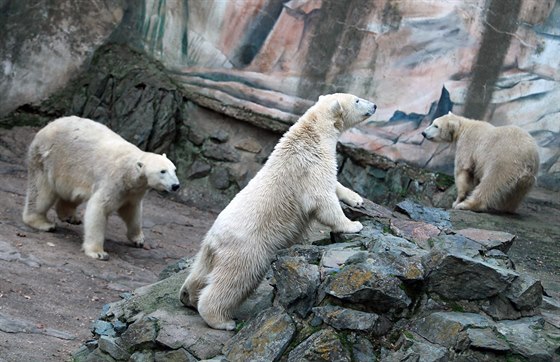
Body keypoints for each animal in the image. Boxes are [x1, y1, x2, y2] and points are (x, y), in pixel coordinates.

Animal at [21, 116, 179, 260]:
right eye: (162, 171)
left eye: (174, 170)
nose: (176, 186)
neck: (130, 171)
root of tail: (48, 126)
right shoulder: (114, 181)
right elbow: (99, 208)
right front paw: (98, 252)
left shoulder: (134, 191)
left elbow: (132, 210)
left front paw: (138, 239)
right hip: (49, 158)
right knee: (42, 193)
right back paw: (43, 223)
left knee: (73, 194)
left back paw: (70, 216)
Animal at [182, 92, 378, 330]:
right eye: (357, 100)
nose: (375, 105)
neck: (313, 132)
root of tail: (214, 238)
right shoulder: (310, 165)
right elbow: (321, 199)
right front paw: (353, 224)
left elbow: (333, 184)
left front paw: (356, 198)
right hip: (248, 248)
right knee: (237, 279)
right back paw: (222, 320)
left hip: (209, 250)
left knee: (200, 272)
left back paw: (188, 296)